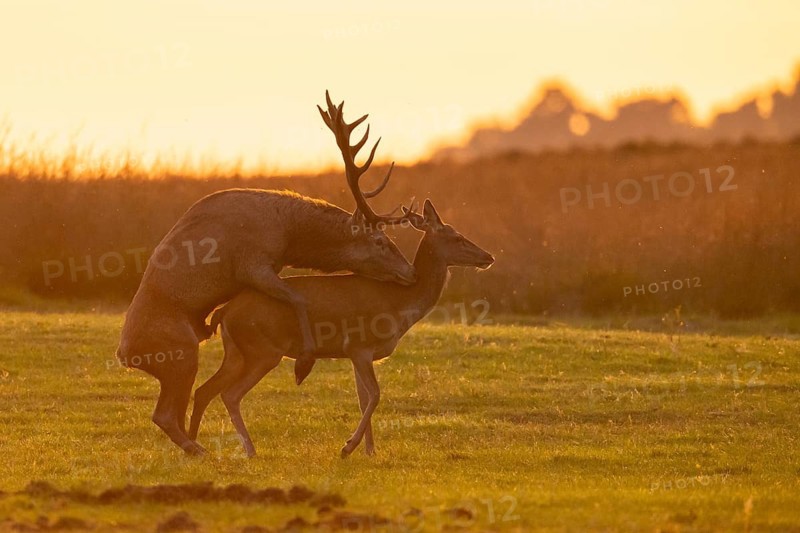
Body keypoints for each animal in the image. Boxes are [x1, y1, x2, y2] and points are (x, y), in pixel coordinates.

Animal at [116, 92, 419, 455]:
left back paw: (197, 444)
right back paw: (201, 450)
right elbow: (298, 298)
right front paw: (303, 364)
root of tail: (126, 356)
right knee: (164, 413)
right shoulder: (253, 263)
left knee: (179, 406)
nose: (410, 272)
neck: (288, 233)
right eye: (379, 241)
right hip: (180, 353)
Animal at [188, 199, 494, 458]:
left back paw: (195, 445)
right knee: (230, 394)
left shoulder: (357, 355)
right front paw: (348, 447)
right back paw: (250, 450)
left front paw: (369, 451)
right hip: (262, 350)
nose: (488, 256)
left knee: (204, 390)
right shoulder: (359, 345)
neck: (400, 304)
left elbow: (363, 398)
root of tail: (224, 311)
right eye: (456, 236)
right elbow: (375, 394)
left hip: (236, 352)